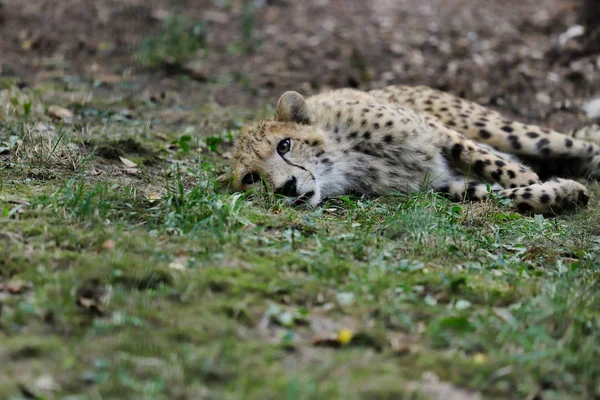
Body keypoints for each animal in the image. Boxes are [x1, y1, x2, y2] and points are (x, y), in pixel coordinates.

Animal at [221, 86, 600, 214]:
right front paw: (558, 193)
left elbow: (490, 164)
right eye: (252, 179)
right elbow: (495, 194)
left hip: (499, 129)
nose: (286, 187)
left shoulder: (436, 131)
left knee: (579, 144)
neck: (346, 159)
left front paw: (531, 180)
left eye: (284, 145)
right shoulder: (438, 186)